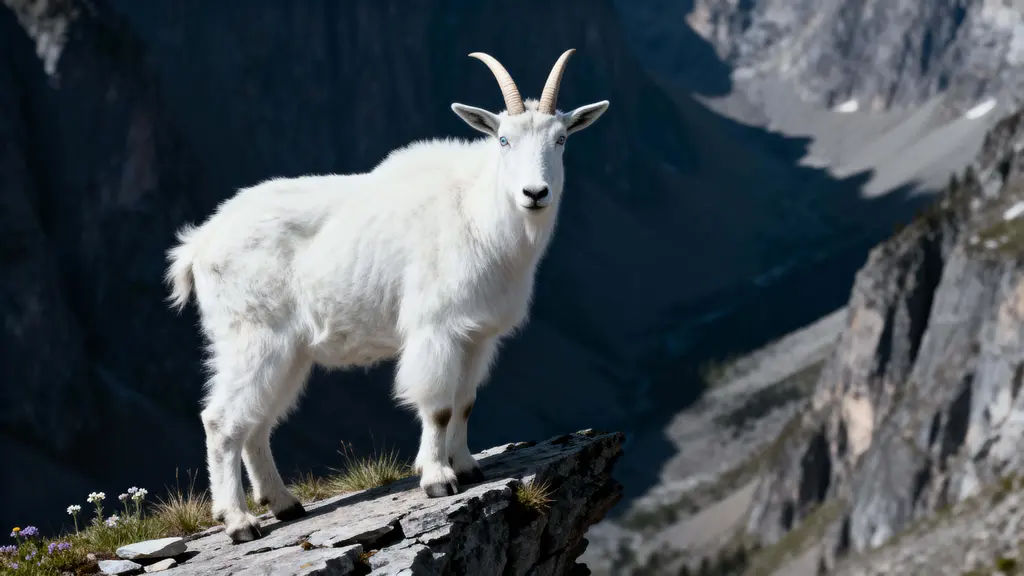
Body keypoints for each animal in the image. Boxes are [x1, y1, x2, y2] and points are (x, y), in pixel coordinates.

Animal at [164, 49, 609, 543]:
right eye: (504, 140)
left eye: (561, 139)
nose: (535, 193)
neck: (477, 215)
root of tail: (198, 246)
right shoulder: (437, 328)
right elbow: (438, 406)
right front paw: (437, 479)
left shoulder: (476, 336)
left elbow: (465, 401)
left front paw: (468, 468)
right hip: (253, 336)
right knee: (222, 421)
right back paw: (240, 522)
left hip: (288, 351)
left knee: (257, 422)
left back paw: (284, 504)